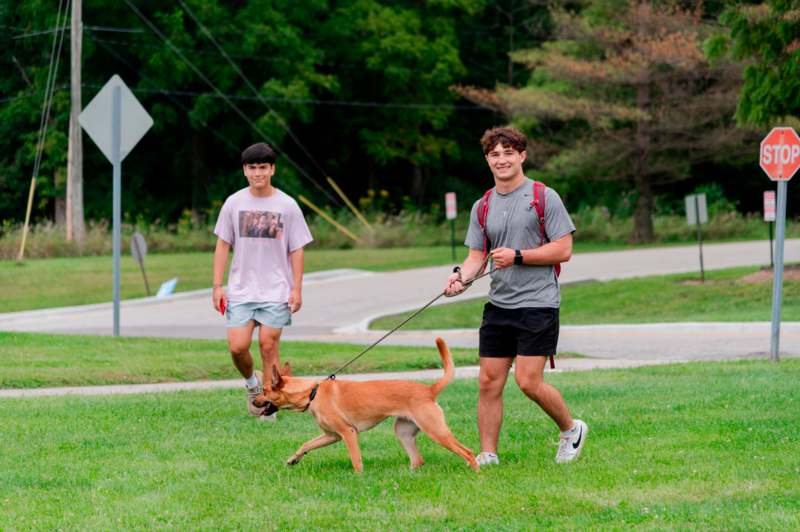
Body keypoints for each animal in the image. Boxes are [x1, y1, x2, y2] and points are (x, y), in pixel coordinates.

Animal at [255, 338, 476, 472]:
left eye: (264, 390)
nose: (253, 401)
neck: (312, 393)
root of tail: (429, 390)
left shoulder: (348, 433)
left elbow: (356, 460)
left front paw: (358, 477)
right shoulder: (332, 436)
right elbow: (306, 444)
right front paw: (294, 459)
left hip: (436, 430)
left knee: (467, 452)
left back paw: (475, 471)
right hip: (404, 431)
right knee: (418, 460)